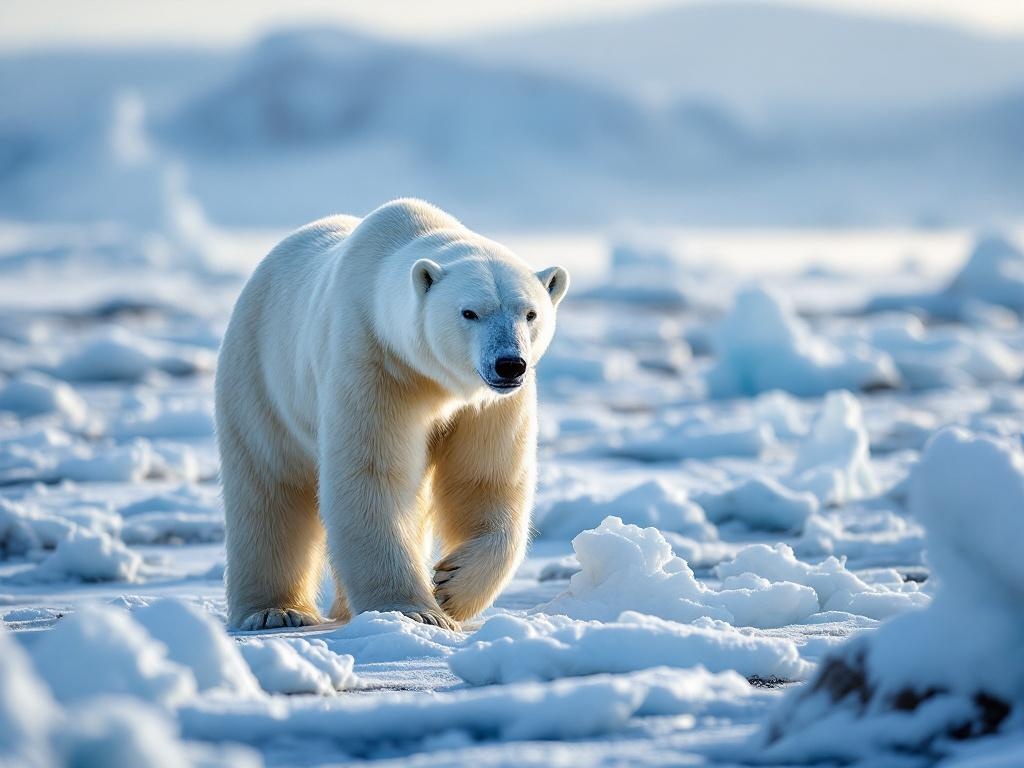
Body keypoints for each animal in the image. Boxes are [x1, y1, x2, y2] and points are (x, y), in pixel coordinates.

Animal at [215, 199, 569, 631]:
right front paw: (417, 610)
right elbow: (371, 475)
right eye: (469, 312)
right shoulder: (373, 363)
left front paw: (451, 587)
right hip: (261, 377)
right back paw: (274, 611)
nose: (509, 364)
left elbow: (484, 477)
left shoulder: (489, 405)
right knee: (269, 486)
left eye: (529, 313)